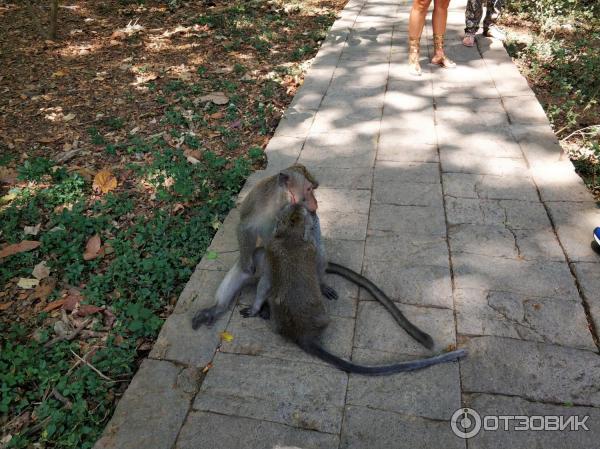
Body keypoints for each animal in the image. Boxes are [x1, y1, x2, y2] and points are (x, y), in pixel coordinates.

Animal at [264, 204, 466, 374]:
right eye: (301, 211)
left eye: (292, 209)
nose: (303, 205)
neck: (290, 236)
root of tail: (302, 335)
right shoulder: (309, 246)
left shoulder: (274, 244)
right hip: (323, 318)